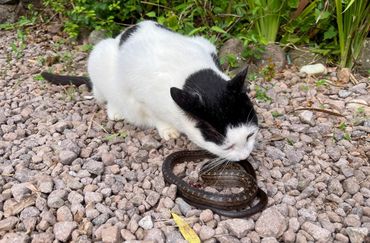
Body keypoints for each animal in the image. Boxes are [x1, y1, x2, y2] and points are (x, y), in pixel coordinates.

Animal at [42, 20, 258, 161]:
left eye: (250, 136)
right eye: (229, 146)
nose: (245, 155)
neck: (190, 73)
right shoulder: (140, 95)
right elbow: (155, 116)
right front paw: (167, 130)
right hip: (99, 57)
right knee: (105, 94)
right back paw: (115, 111)